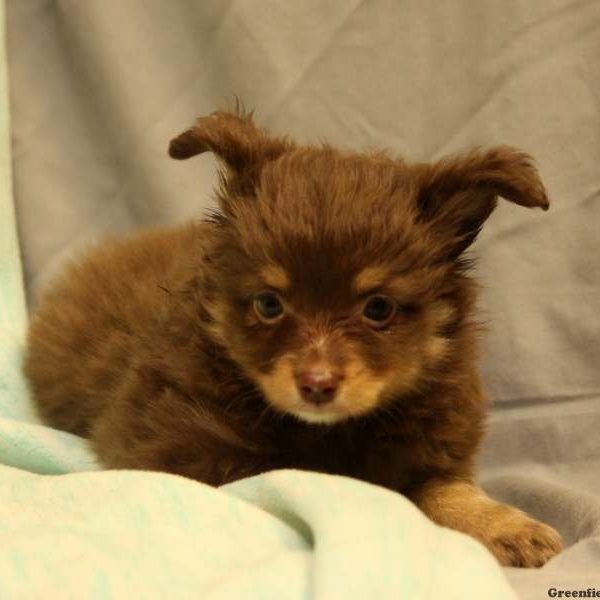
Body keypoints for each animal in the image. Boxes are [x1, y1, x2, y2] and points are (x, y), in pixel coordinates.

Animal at [24, 109, 564, 568]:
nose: (317, 384)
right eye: (268, 304)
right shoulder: (172, 445)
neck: (330, 430)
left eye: (378, 308)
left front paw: (507, 525)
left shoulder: (437, 444)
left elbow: (446, 488)